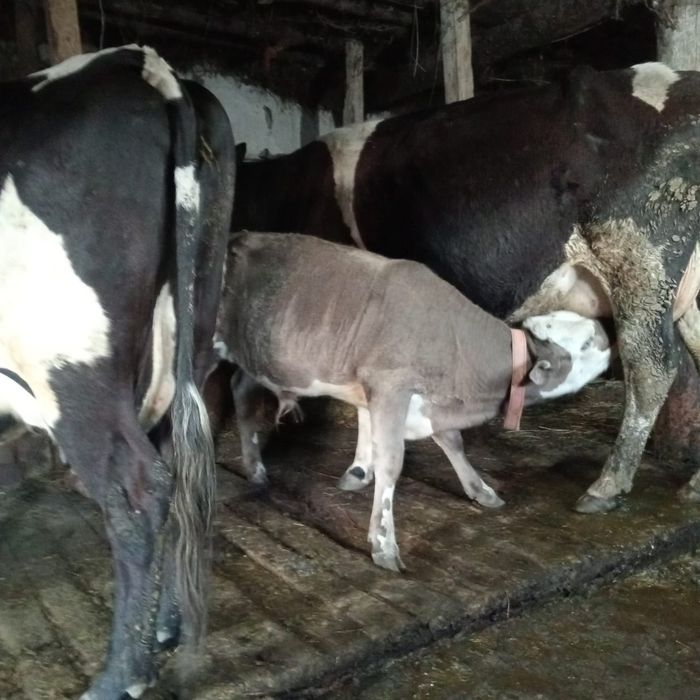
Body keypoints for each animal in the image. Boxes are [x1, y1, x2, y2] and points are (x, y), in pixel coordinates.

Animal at [0, 45, 234, 698]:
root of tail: (140, 62)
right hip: (188, 338)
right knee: (184, 469)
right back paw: (167, 629)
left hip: (71, 370)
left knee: (138, 492)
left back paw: (120, 675)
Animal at [215, 232, 611, 571]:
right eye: (583, 343)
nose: (606, 331)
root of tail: (239, 236)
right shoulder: (391, 386)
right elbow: (391, 463)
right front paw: (383, 543)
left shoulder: (425, 402)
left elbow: (452, 442)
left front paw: (480, 490)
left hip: (258, 358)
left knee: (240, 388)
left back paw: (256, 470)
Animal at [231, 63, 700, 515]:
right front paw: (361, 470)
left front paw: (361, 468)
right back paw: (691, 485)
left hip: (639, 259)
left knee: (651, 367)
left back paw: (606, 486)